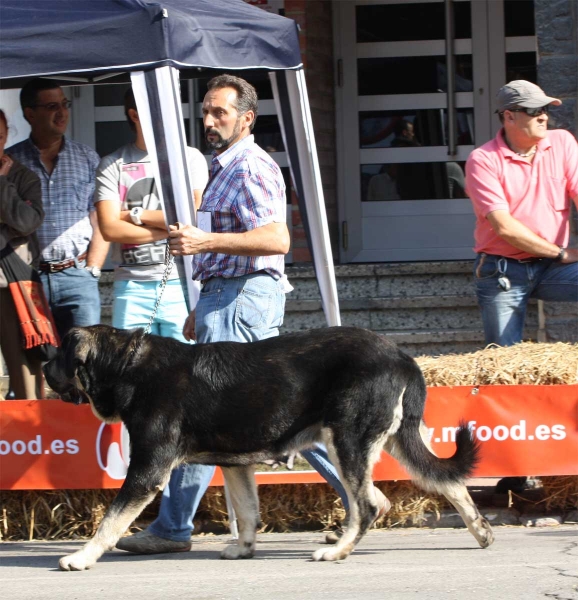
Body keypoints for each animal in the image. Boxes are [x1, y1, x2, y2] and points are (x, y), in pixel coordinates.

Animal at [42, 324, 492, 572]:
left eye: (61, 352)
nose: (43, 363)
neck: (128, 366)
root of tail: (402, 356)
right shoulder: (236, 465)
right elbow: (247, 512)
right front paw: (244, 549)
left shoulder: (148, 469)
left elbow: (111, 520)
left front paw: (82, 557)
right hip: (396, 438)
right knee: (447, 482)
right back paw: (481, 532)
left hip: (347, 438)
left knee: (366, 504)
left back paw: (338, 551)